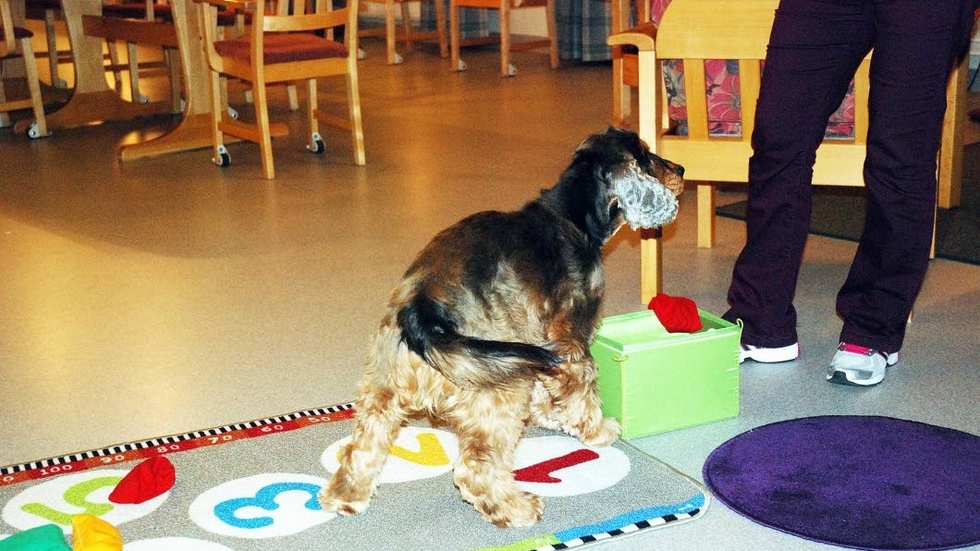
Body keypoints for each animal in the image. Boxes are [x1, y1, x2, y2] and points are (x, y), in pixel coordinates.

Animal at [318, 128, 684, 532]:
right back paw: (515, 508)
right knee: (474, 468)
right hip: (501, 389)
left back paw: (344, 497)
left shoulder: (535, 337)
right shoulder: (571, 339)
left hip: (386, 388)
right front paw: (596, 430)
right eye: (648, 156)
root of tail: (422, 309)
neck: (571, 215)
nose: (681, 169)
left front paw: (549, 416)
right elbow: (581, 393)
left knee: (361, 448)